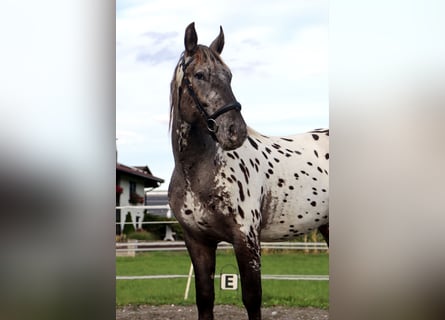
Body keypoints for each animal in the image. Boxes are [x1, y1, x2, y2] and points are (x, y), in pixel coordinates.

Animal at [168, 22, 328, 320]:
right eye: (199, 75)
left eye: (229, 76)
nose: (235, 131)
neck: (197, 172)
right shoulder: (197, 242)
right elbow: (205, 299)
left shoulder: (246, 239)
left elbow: (252, 299)